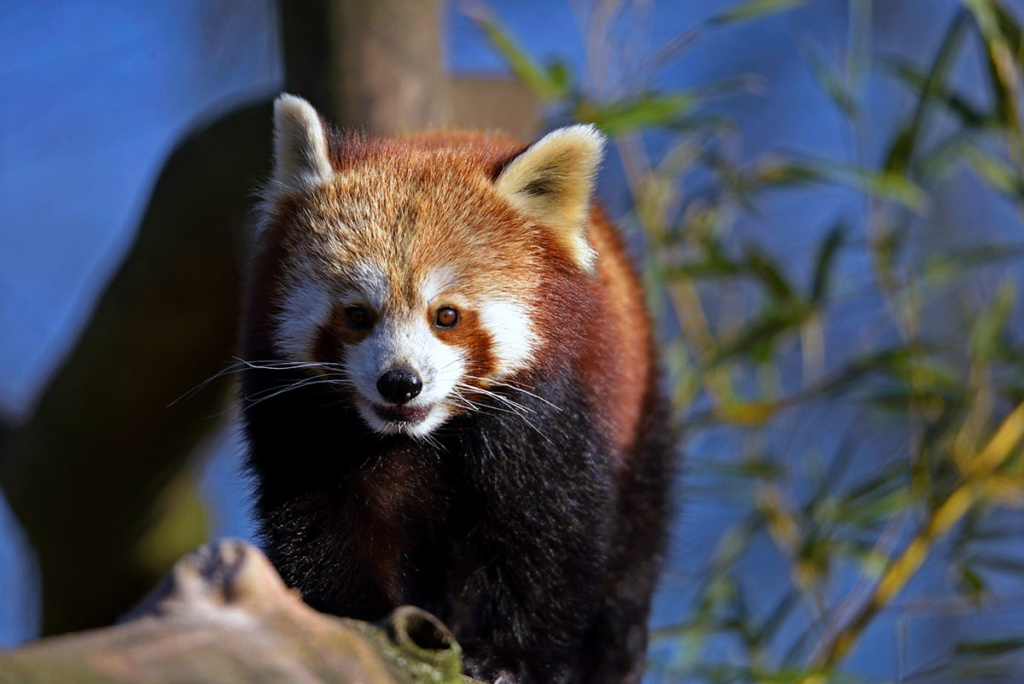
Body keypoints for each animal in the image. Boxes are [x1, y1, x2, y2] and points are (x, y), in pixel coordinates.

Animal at [238, 92, 671, 684]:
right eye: (356, 315)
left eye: (446, 316)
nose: (400, 383)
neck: (417, 437)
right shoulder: (302, 418)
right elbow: (322, 522)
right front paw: (360, 619)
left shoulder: (550, 412)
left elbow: (548, 537)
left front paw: (512, 659)